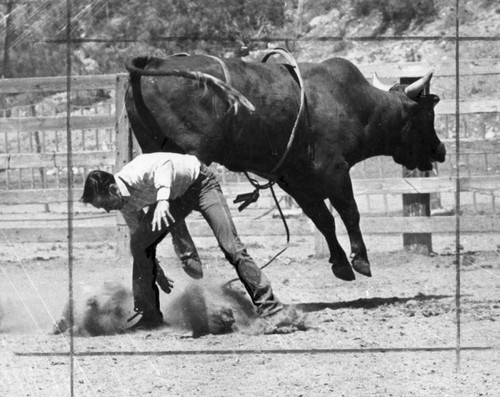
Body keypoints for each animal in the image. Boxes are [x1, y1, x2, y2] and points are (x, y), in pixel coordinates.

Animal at [125, 54, 446, 282]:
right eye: (427, 115)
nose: (440, 150)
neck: (356, 103)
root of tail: (155, 63)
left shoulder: (295, 179)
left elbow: (323, 219)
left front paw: (341, 263)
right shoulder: (335, 170)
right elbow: (349, 213)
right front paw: (360, 259)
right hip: (188, 157)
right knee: (170, 205)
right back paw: (189, 256)